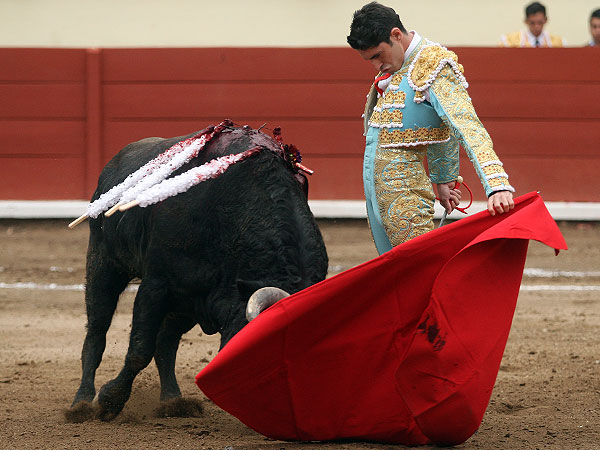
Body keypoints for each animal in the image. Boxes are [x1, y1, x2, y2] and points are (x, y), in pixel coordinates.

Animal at [69, 125, 328, 420]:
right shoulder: (156, 286)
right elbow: (139, 348)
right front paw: (110, 400)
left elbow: (157, 345)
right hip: (104, 264)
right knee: (96, 332)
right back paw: (81, 403)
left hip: (186, 304)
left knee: (166, 342)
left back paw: (173, 401)